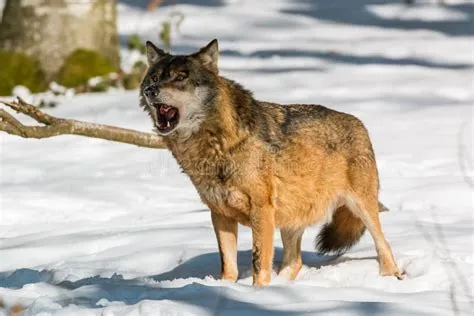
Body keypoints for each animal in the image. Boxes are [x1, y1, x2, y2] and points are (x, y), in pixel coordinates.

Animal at [139, 39, 402, 286]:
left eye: (180, 77)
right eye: (154, 77)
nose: (150, 90)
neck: (215, 142)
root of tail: (360, 124)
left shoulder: (261, 210)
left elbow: (259, 261)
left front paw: (257, 292)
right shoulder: (219, 213)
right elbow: (228, 265)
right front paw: (226, 289)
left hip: (361, 206)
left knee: (384, 243)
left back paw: (389, 277)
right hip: (290, 218)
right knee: (295, 262)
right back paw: (283, 285)